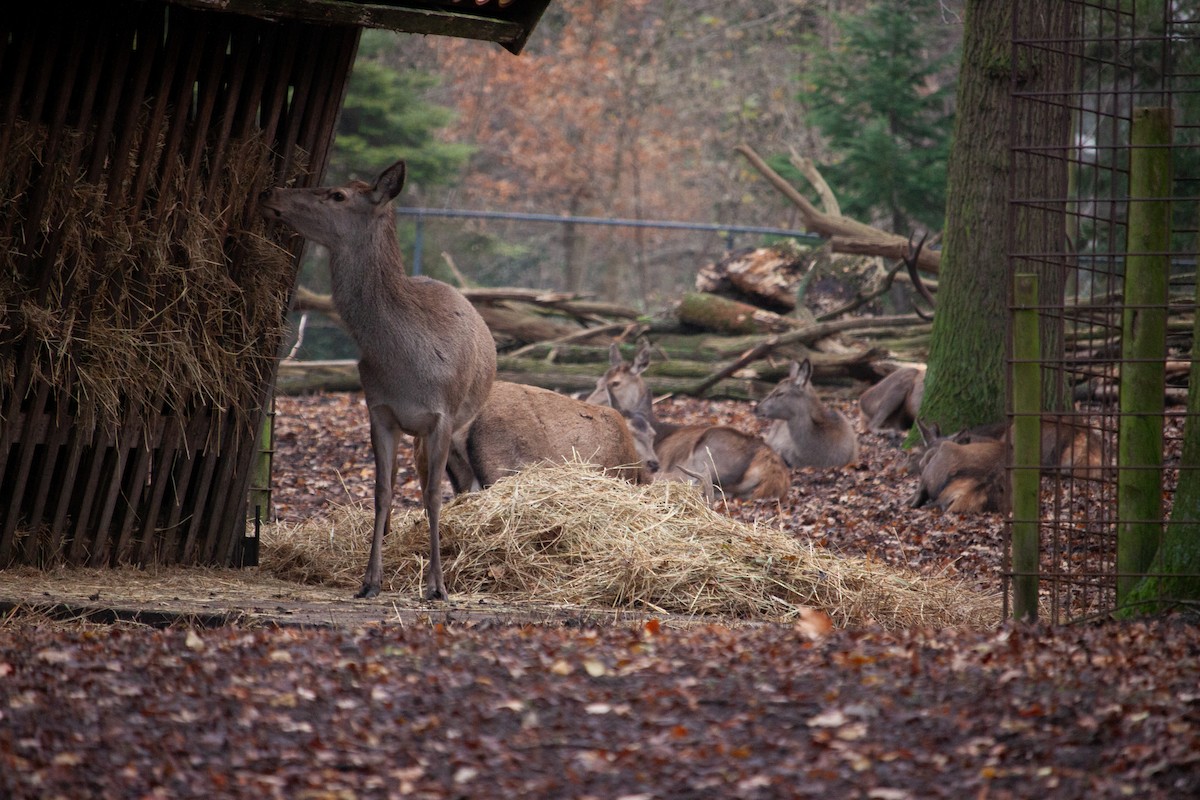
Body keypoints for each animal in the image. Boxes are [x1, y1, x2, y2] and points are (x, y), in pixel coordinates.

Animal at [260, 160, 496, 601]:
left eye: (337, 195)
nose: (271, 192)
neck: (406, 364)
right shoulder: (379, 411)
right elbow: (381, 491)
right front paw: (370, 580)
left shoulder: (441, 416)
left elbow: (434, 495)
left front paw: (437, 586)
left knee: (428, 481)